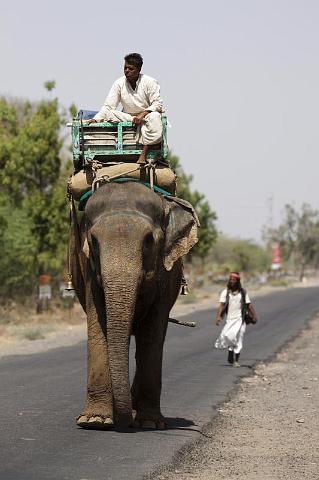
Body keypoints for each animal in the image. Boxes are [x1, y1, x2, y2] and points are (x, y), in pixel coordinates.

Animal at [71, 182, 199, 430]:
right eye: (93, 241)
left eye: (149, 240)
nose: (126, 422)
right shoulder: (90, 272)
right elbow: (98, 326)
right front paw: (95, 421)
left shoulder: (163, 275)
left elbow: (152, 333)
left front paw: (150, 423)